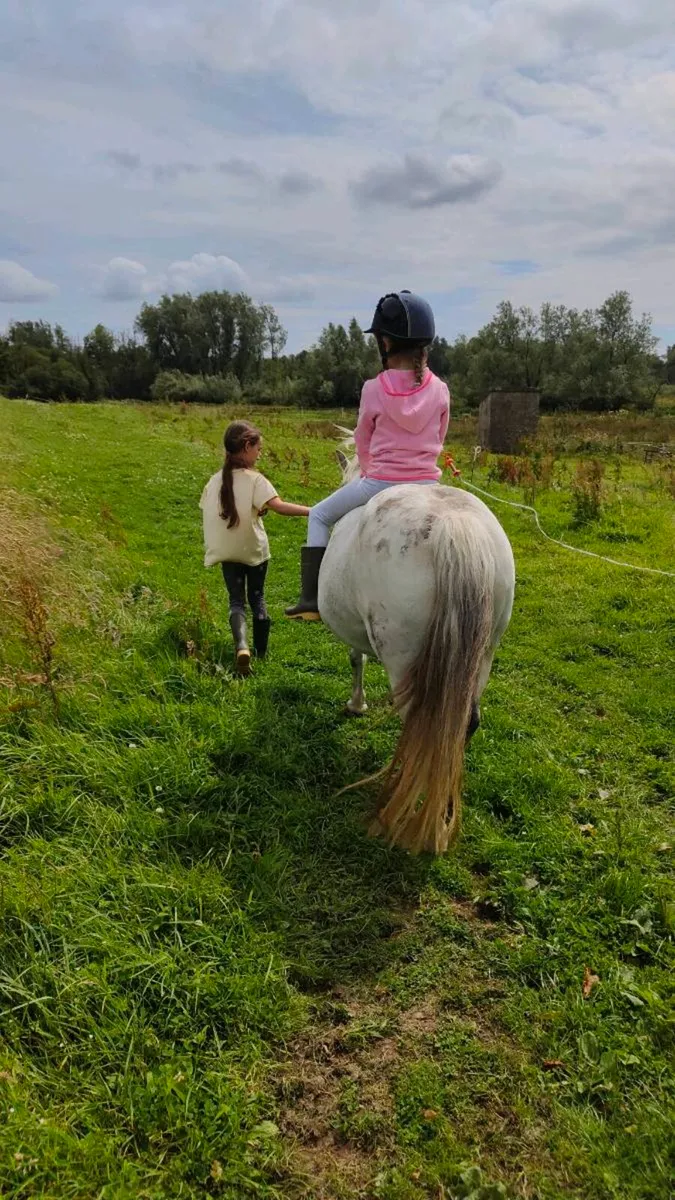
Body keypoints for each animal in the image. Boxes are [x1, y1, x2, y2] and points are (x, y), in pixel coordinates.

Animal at [317, 431, 515, 855]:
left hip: (404, 659)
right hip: (481, 657)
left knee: (418, 725)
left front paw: (356, 704)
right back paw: (445, 812)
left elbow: (355, 660)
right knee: (461, 725)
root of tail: (453, 527)